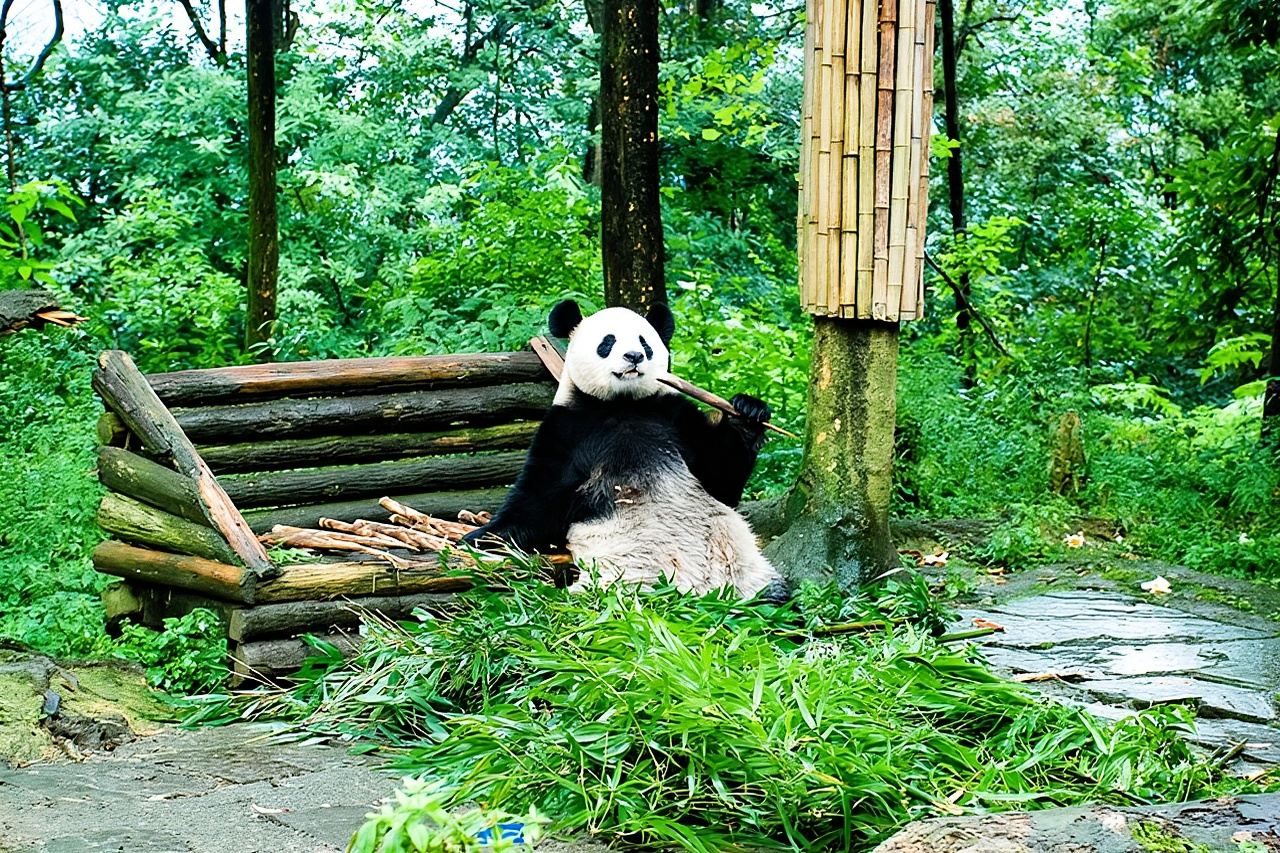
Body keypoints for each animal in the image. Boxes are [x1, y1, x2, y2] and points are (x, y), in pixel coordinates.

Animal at [462, 299, 783, 599]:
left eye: (645, 342)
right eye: (608, 342)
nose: (634, 356)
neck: (622, 404)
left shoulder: (674, 416)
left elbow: (720, 477)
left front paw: (748, 412)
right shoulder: (567, 429)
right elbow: (537, 499)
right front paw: (479, 537)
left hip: (743, 568)